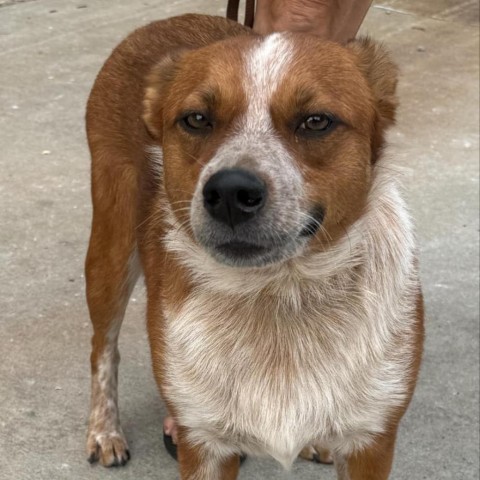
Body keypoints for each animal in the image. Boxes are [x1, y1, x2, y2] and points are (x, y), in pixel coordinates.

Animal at [84, 11, 422, 480]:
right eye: (196, 119)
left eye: (316, 121)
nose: (229, 192)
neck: (279, 296)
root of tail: (168, 20)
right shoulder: (204, 444)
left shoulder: (370, 440)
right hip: (111, 247)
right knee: (103, 348)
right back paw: (104, 431)